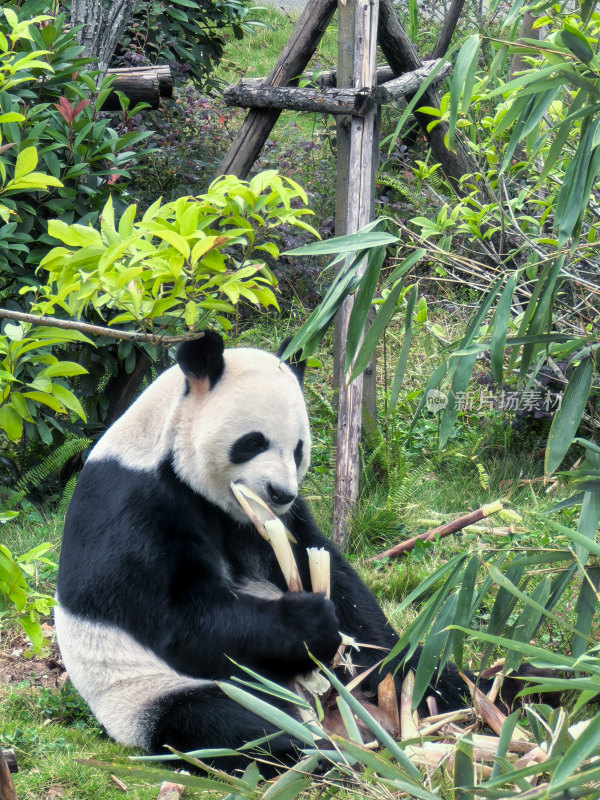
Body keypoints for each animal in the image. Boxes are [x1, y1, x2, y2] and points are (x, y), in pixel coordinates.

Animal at [54, 330, 502, 768]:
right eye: (252, 442)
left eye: (299, 448)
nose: (279, 492)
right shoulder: (135, 505)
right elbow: (180, 616)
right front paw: (312, 625)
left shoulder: (273, 520)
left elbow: (327, 570)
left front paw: (347, 632)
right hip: (150, 693)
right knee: (225, 722)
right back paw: (325, 754)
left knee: (432, 673)